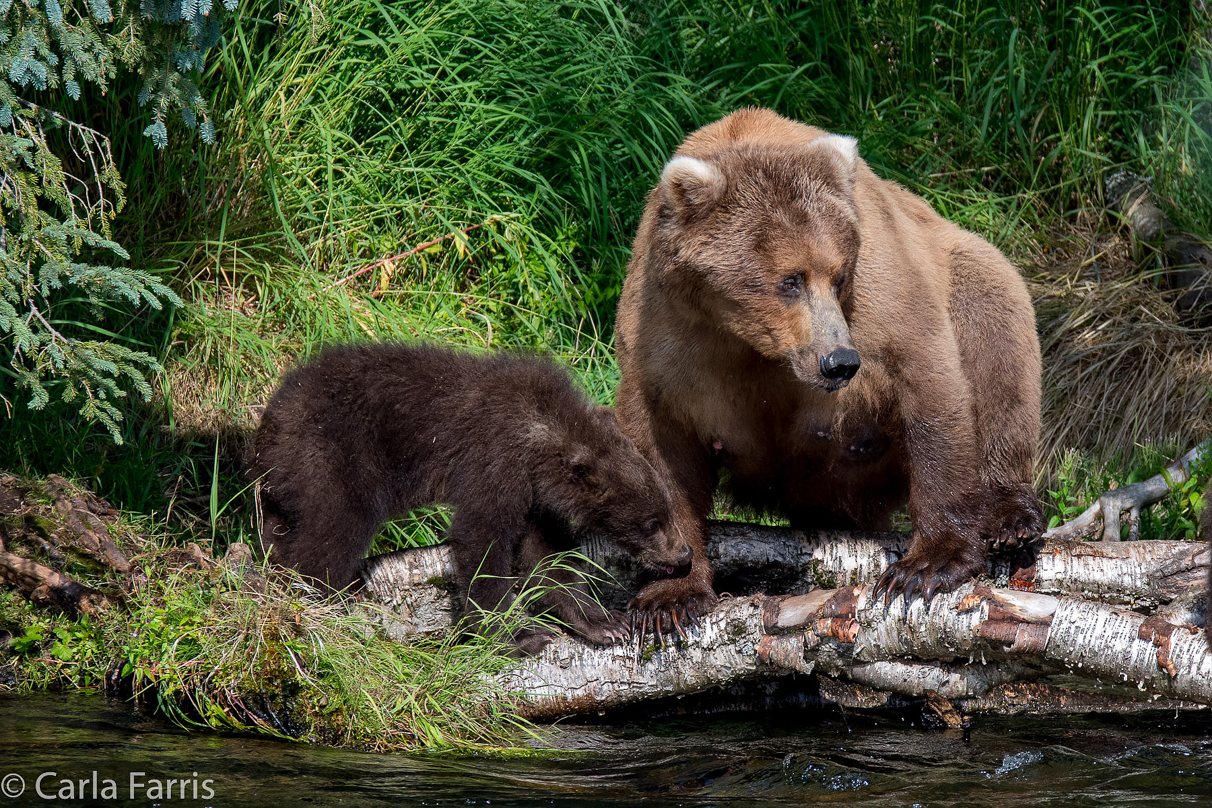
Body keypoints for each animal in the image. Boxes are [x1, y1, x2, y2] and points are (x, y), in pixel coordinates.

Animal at [615, 107, 1042, 625]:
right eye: (789, 280)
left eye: (836, 275)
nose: (839, 361)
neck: (750, 342)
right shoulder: (666, 335)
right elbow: (661, 449)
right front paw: (670, 596)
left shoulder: (879, 288)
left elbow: (926, 381)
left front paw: (927, 565)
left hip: (966, 267)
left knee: (996, 336)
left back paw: (1009, 518)